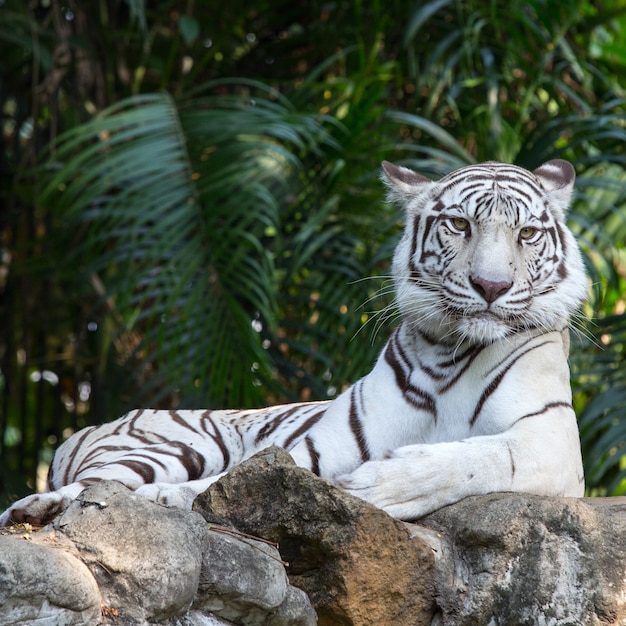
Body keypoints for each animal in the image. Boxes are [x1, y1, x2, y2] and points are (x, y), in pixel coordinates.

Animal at [0, 156, 584, 520]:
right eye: (460, 225)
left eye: (527, 234)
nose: (491, 286)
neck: (450, 351)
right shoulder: (321, 448)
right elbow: (227, 484)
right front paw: (169, 499)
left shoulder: (549, 439)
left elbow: (475, 457)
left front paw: (381, 485)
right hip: (166, 446)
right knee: (97, 486)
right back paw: (37, 508)